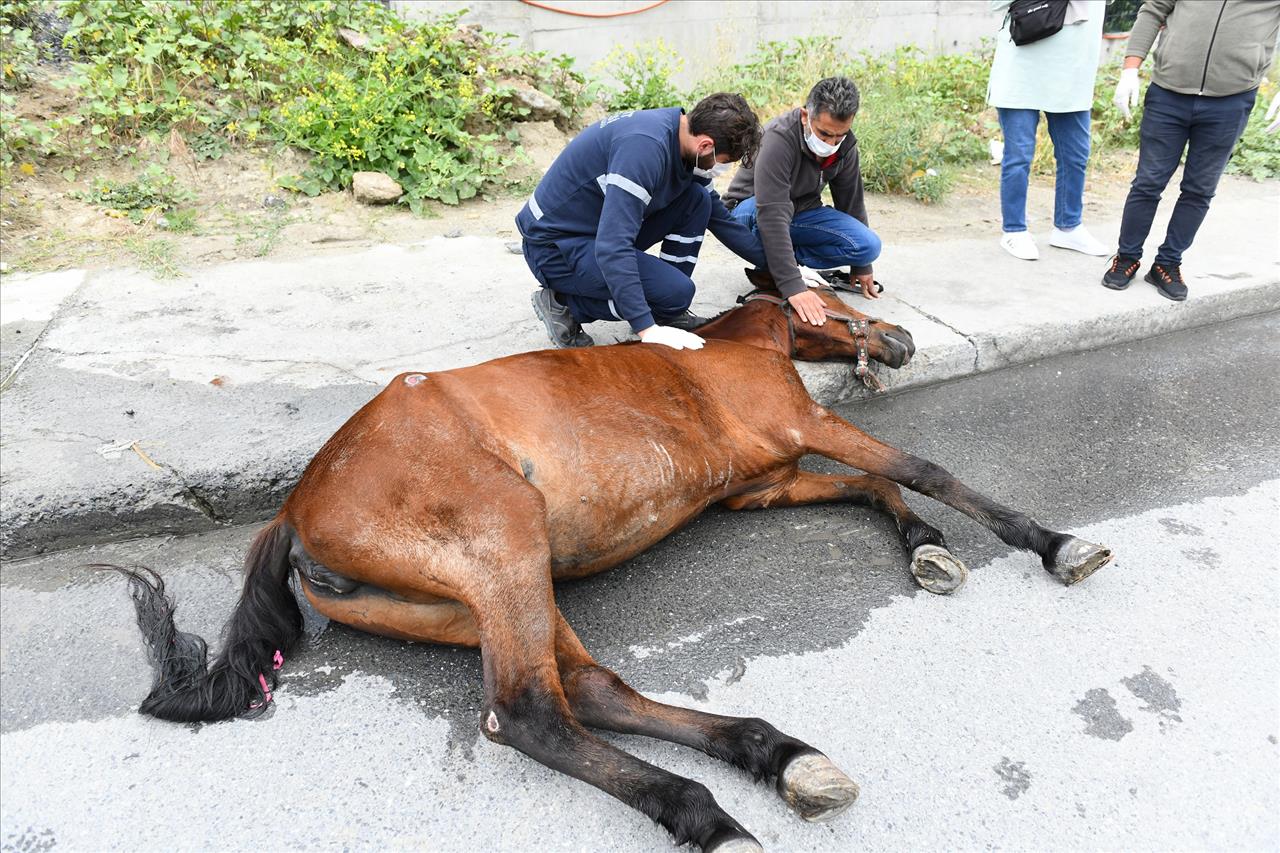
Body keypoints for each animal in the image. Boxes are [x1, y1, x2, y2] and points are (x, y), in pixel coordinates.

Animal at [110, 274, 1111, 850]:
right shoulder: (808, 424)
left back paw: (775, 758)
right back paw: (710, 816)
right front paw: (1052, 543)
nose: (899, 340)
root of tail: (295, 508)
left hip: (493, 588)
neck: (726, 354)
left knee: (588, 690)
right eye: (847, 303)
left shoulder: (763, 484)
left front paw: (928, 551)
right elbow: (920, 471)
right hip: (507, 539)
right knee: (528, 711)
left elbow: (878, 491)